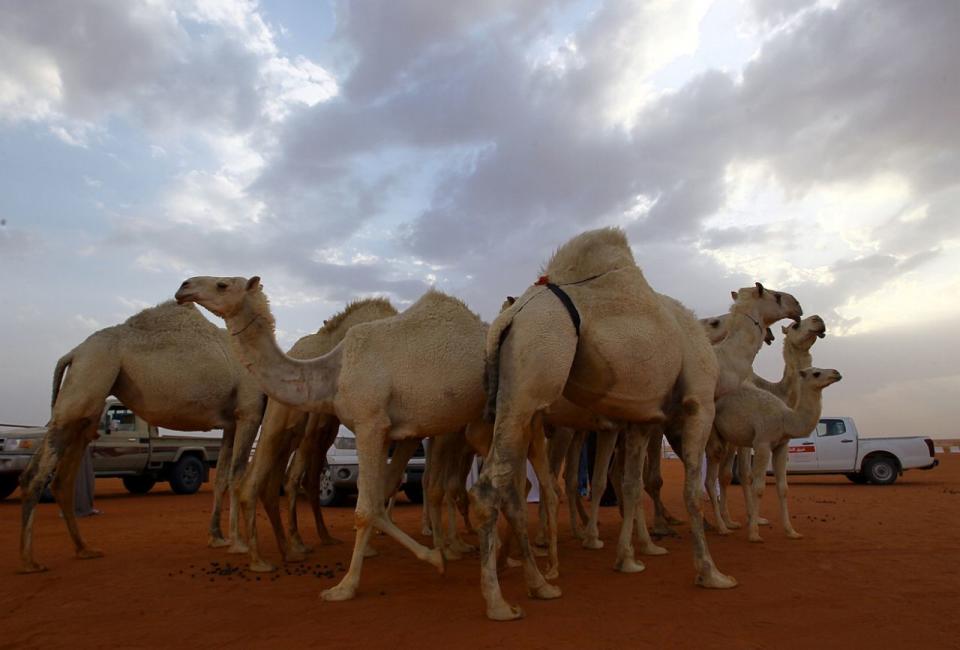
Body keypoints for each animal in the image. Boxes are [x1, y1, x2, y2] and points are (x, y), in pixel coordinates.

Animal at [17, 302, 266, 568]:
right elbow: (237, 476)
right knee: (37, 474)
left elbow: (221, 478)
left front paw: (217, 537)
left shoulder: (231, 422)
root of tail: (74, 353)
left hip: (86, 401)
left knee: (61, 479)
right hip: (90, 376)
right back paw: (29, 561)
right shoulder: (249, 412)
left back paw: (84, 549)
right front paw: (239, 543)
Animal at [232, 296, 398, 568]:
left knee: (275, 483)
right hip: (279, 429)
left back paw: (301, 544)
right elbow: (297, 480)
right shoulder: (312, 433)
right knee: (262, 478)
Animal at [704, 368, 840, 540]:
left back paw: (730, 523)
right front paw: (754, 534)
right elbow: (758, 488)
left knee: (725, 474)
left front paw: (791, 531)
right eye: (816, 373)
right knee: (710, 476)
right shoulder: (762, 443)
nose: (836, 373)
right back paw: (722, 528)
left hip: (730, 438)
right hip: (712, 431)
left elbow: (783, 488)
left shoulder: (781, 446)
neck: (785, 418)